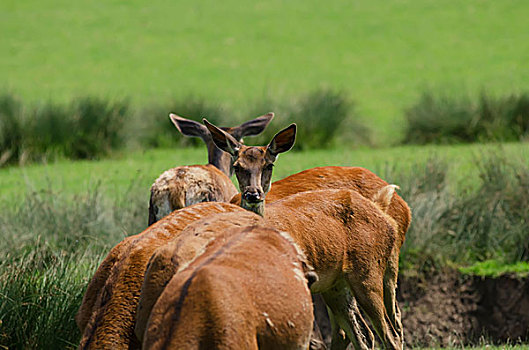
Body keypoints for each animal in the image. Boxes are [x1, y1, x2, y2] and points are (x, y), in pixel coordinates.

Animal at [203, 119, 408, 348]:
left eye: (269, 165)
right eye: (237, 166)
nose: (253, 194)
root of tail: (388, 215)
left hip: (369, 272)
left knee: (390, 333)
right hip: (338, 286)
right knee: (365, 335)